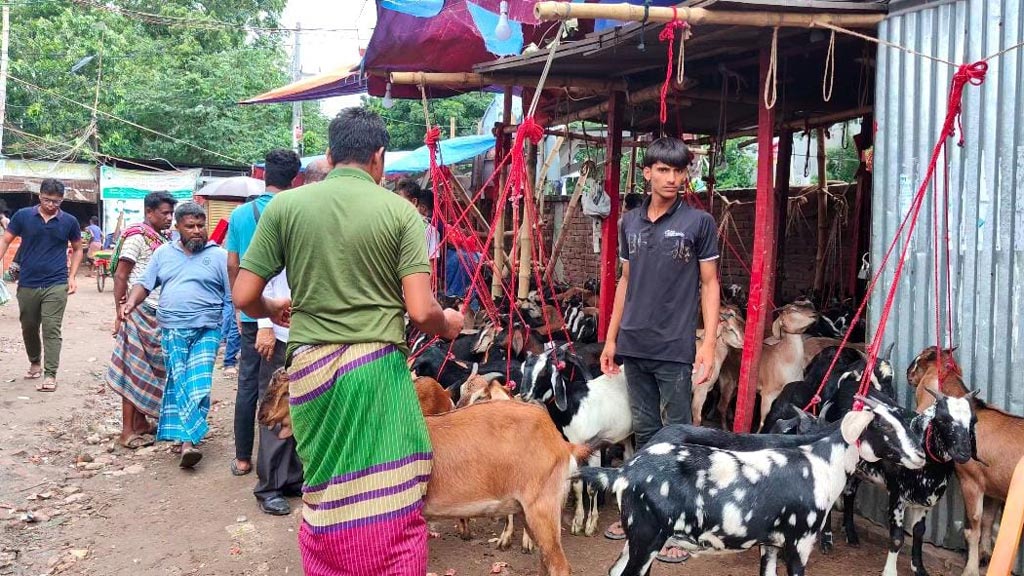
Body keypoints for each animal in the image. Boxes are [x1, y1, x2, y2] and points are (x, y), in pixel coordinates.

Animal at [520, 342, 630, 537]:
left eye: (544, 371)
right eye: (523, 368)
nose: (523, 394)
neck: (573, 406)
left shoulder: (594, 445)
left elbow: (592, 486)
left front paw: (591, 524)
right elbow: (577, 485)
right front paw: (577, 522)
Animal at [581, 397, 925, 573]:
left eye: (906, 421)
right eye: (883, 428)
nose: (921, 455)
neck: (823, 461)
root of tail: (625, 471)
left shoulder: (770, 543)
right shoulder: (799, 543)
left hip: (638, 538)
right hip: (647, 536)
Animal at [909, 344, 1019, 573]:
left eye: (919, 361)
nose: (908, 374)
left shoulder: (971, 481)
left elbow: (973, 528)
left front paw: (970, 569)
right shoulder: (993, 486)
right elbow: (987, 522)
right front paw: (985, 556)